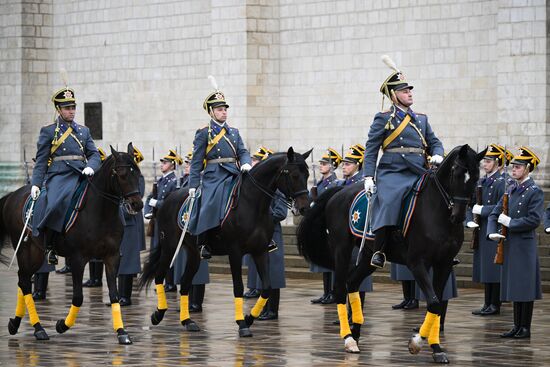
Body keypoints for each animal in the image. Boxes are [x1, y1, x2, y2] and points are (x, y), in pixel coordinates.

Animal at [0, 144, 142, 344]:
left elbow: (113, 294)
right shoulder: (78, 259)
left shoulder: (112, 256)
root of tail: (14, 194)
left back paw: (16, 324)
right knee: (24, 281)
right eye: (122, 175)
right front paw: (61, 325)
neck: (101, 212)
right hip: (25, 249)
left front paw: (122, 332)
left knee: (23, 279)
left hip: (36, 253)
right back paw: (37, 328)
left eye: (137, 174)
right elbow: (78, 297)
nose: (137, 204)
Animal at [139, 148, 310, 338]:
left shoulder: (260, 251)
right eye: (294, 175)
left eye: (308, 174)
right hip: (170, 247)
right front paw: (242, 323)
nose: (304, 208)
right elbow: (238, 287)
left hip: (193, 253)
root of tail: (169, 198)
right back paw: (158, 313)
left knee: (184, 283)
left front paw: (249, 317)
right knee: (159, 276)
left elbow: (266, 287)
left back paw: (187, 321)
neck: (252, 203)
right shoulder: (235, 252)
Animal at [300, 145, 486, 364]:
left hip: (368, 255)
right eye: (456, 174)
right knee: (339, 288)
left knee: (352, 283)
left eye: (476, 177)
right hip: (341, 250)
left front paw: (436, 348)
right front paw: (416, 342)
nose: (458, 216)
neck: (436, 210)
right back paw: (348, 338)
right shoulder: (417, 262)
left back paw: (356, 332)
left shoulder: (444, 264)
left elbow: (438, 305)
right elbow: (433, 302)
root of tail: (340, 192)